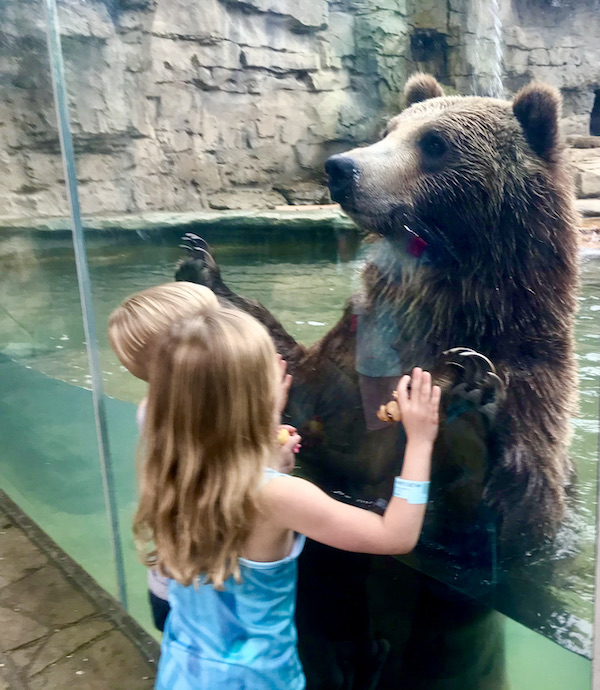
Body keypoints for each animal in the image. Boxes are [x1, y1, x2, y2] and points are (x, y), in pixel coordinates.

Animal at [174, 74, 579, 688]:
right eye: (389, 128)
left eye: (435, 142)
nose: (342, 167)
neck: (443, 305)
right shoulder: (350, 365)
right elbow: (297, 386)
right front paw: (203, 268)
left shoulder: (535, 387)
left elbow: (501, 528)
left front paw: (470, 395)